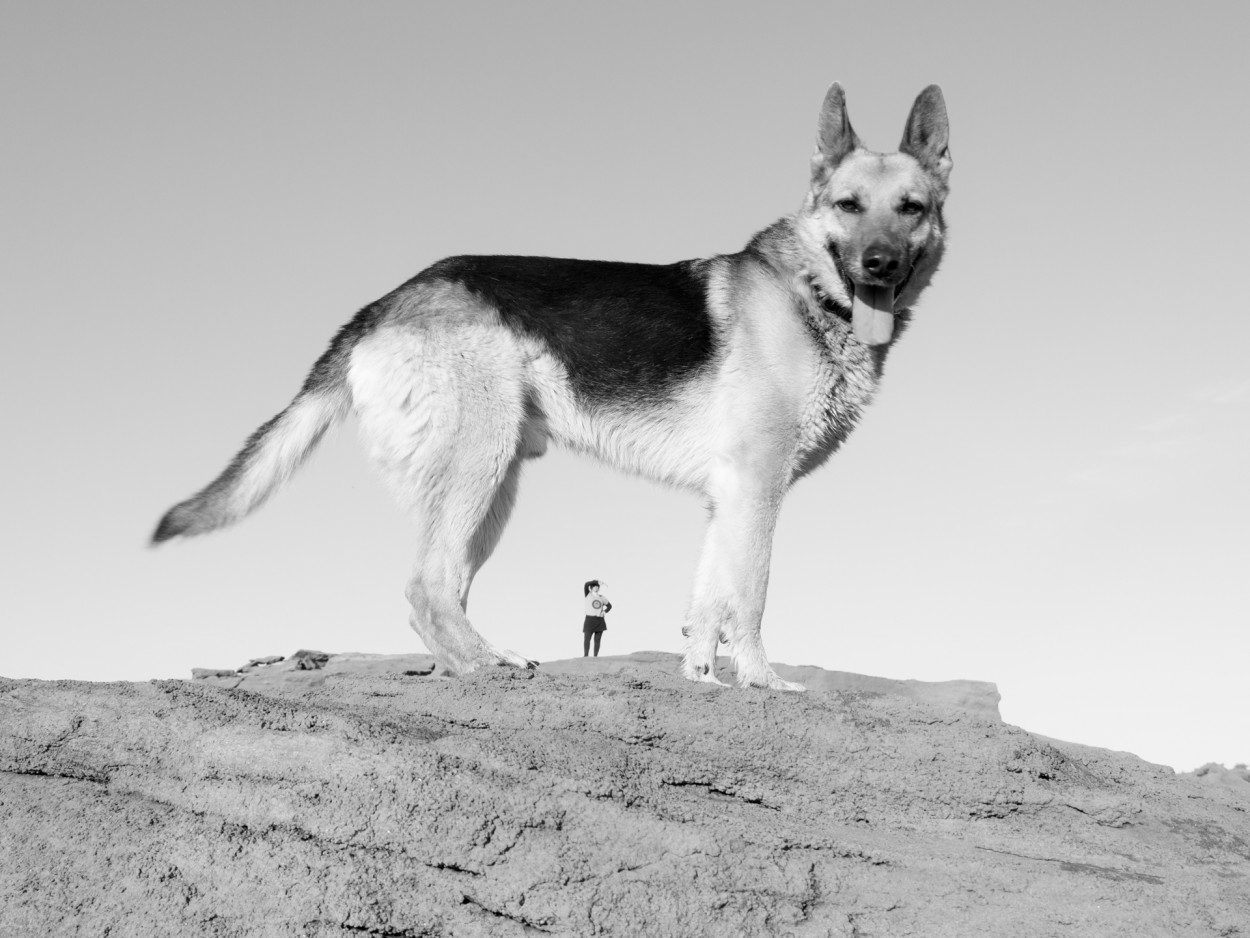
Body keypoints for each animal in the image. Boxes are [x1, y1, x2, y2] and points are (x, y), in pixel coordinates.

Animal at [156, 84, 955, 695]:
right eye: (848, 206)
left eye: (910, 208)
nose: (880, 265)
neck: (810, 292)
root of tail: (387, 301)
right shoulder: (758, 491)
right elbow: (749, 599)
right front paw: (762, 680)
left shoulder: (727, 497)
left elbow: (707, 604)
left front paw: (703, 676)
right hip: (480, 466)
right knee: (425, 587)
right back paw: (483, 666)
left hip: (493, 487)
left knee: (445, 587)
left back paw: (473, 661)